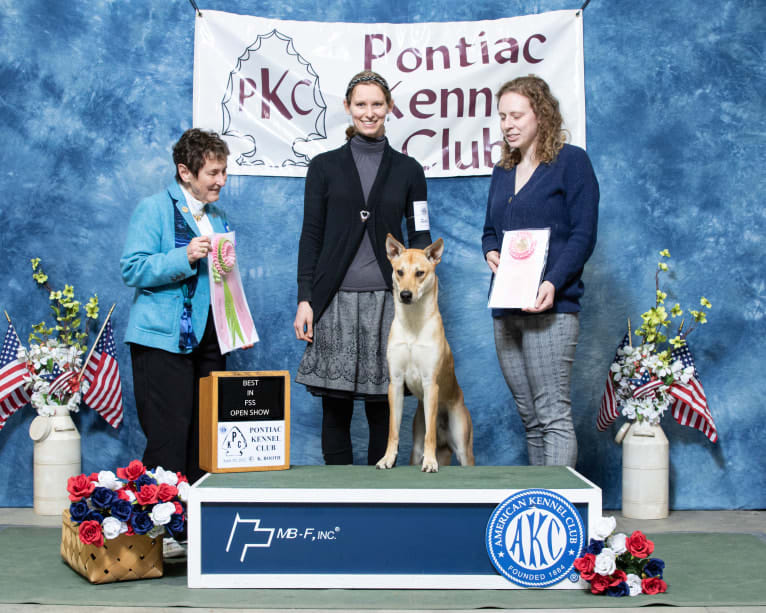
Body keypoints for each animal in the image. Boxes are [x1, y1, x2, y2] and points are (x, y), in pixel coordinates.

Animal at [376, 232, 474, 470]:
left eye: (420, 273)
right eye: (399, 272)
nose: (405, 294)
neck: (413, 323)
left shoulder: (431, 383)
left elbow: (431, 434)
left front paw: (430, 463)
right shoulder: (396, 383)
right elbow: (392, 430)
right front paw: (387, 459)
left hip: (463, 446)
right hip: (416, 445)